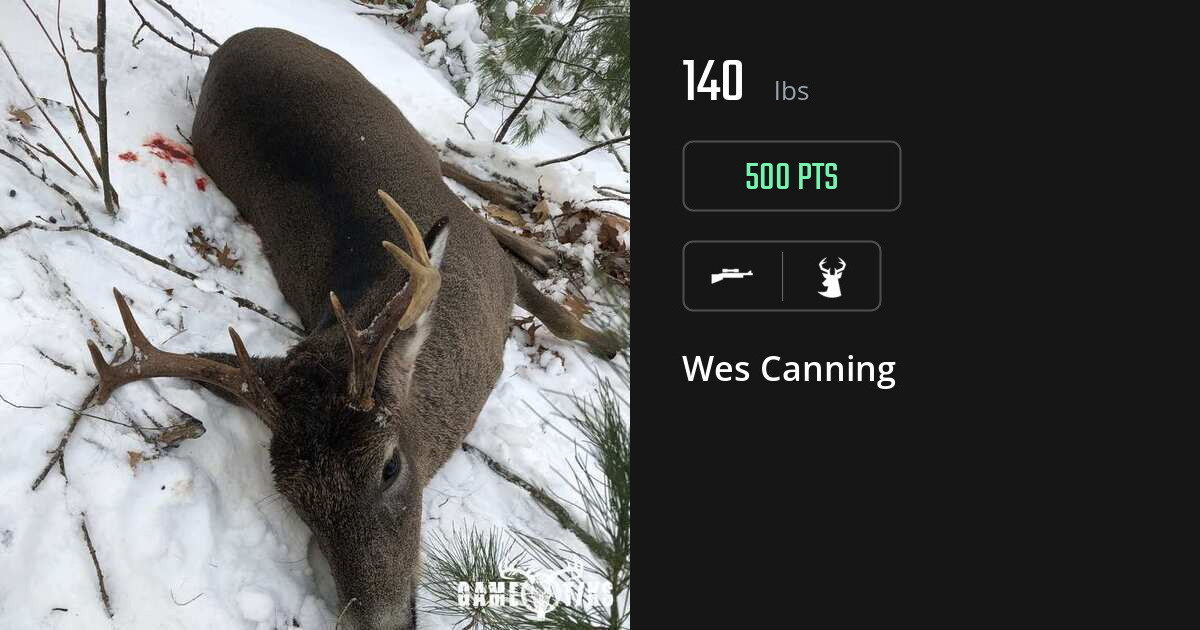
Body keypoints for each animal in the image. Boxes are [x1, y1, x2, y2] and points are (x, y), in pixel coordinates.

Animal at [83, 28, 619, 630]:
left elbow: (560, 318)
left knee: (442, 155)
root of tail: (238, 39)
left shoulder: (495, 269)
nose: (380, 622)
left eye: (390, 467)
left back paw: (526, 213)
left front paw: (609, 341)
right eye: (298, 503)